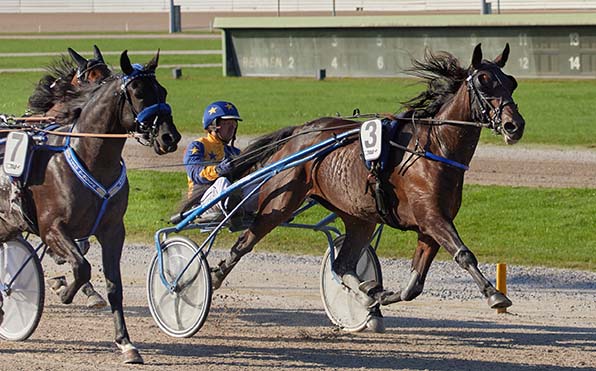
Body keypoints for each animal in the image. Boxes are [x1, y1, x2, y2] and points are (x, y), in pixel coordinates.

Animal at [0, 50, 182, 364]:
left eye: (163, 91)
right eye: (138, 93)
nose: (169, 137)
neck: (89, 158)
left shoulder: (112, 231)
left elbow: (113, 286)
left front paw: (126, 343)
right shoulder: (51, 228)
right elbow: (81, 266)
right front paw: (64, 292)